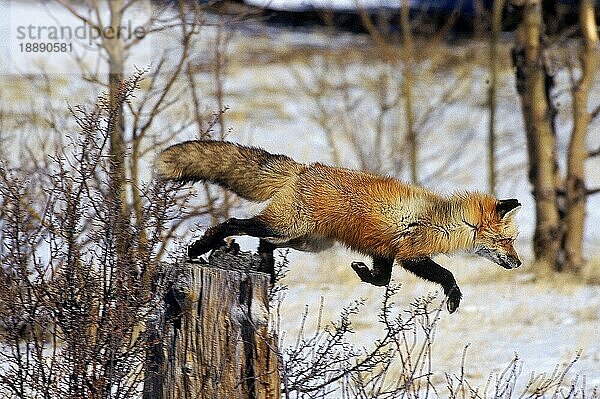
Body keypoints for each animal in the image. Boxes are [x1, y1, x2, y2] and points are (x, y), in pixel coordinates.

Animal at [156, 141, 520, 312]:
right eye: (507, 241)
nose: (518, 263)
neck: (444, 220)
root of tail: (302, 168)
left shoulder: (384, 251)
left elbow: (380, 280)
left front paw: (361, 272)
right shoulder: (410, 254)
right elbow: (447, 275)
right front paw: (454, 297)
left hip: (307, 241)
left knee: (266, 244)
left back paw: (268, 272)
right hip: (285, 226)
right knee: (234, 223)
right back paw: (200, 248)